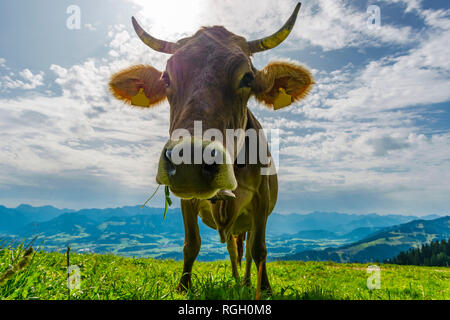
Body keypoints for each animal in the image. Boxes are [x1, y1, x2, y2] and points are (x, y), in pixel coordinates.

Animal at [109, 1, 312, 298]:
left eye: (247, 78)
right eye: (166, 78)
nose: (189, 162)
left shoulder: (262, 199)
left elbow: (260, 249)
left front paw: (264, 288)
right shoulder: (186, 199)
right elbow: (191, 244)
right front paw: (183, 287)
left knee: (246, 251)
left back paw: (246, 282)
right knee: (232, 250)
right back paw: (237, 280)